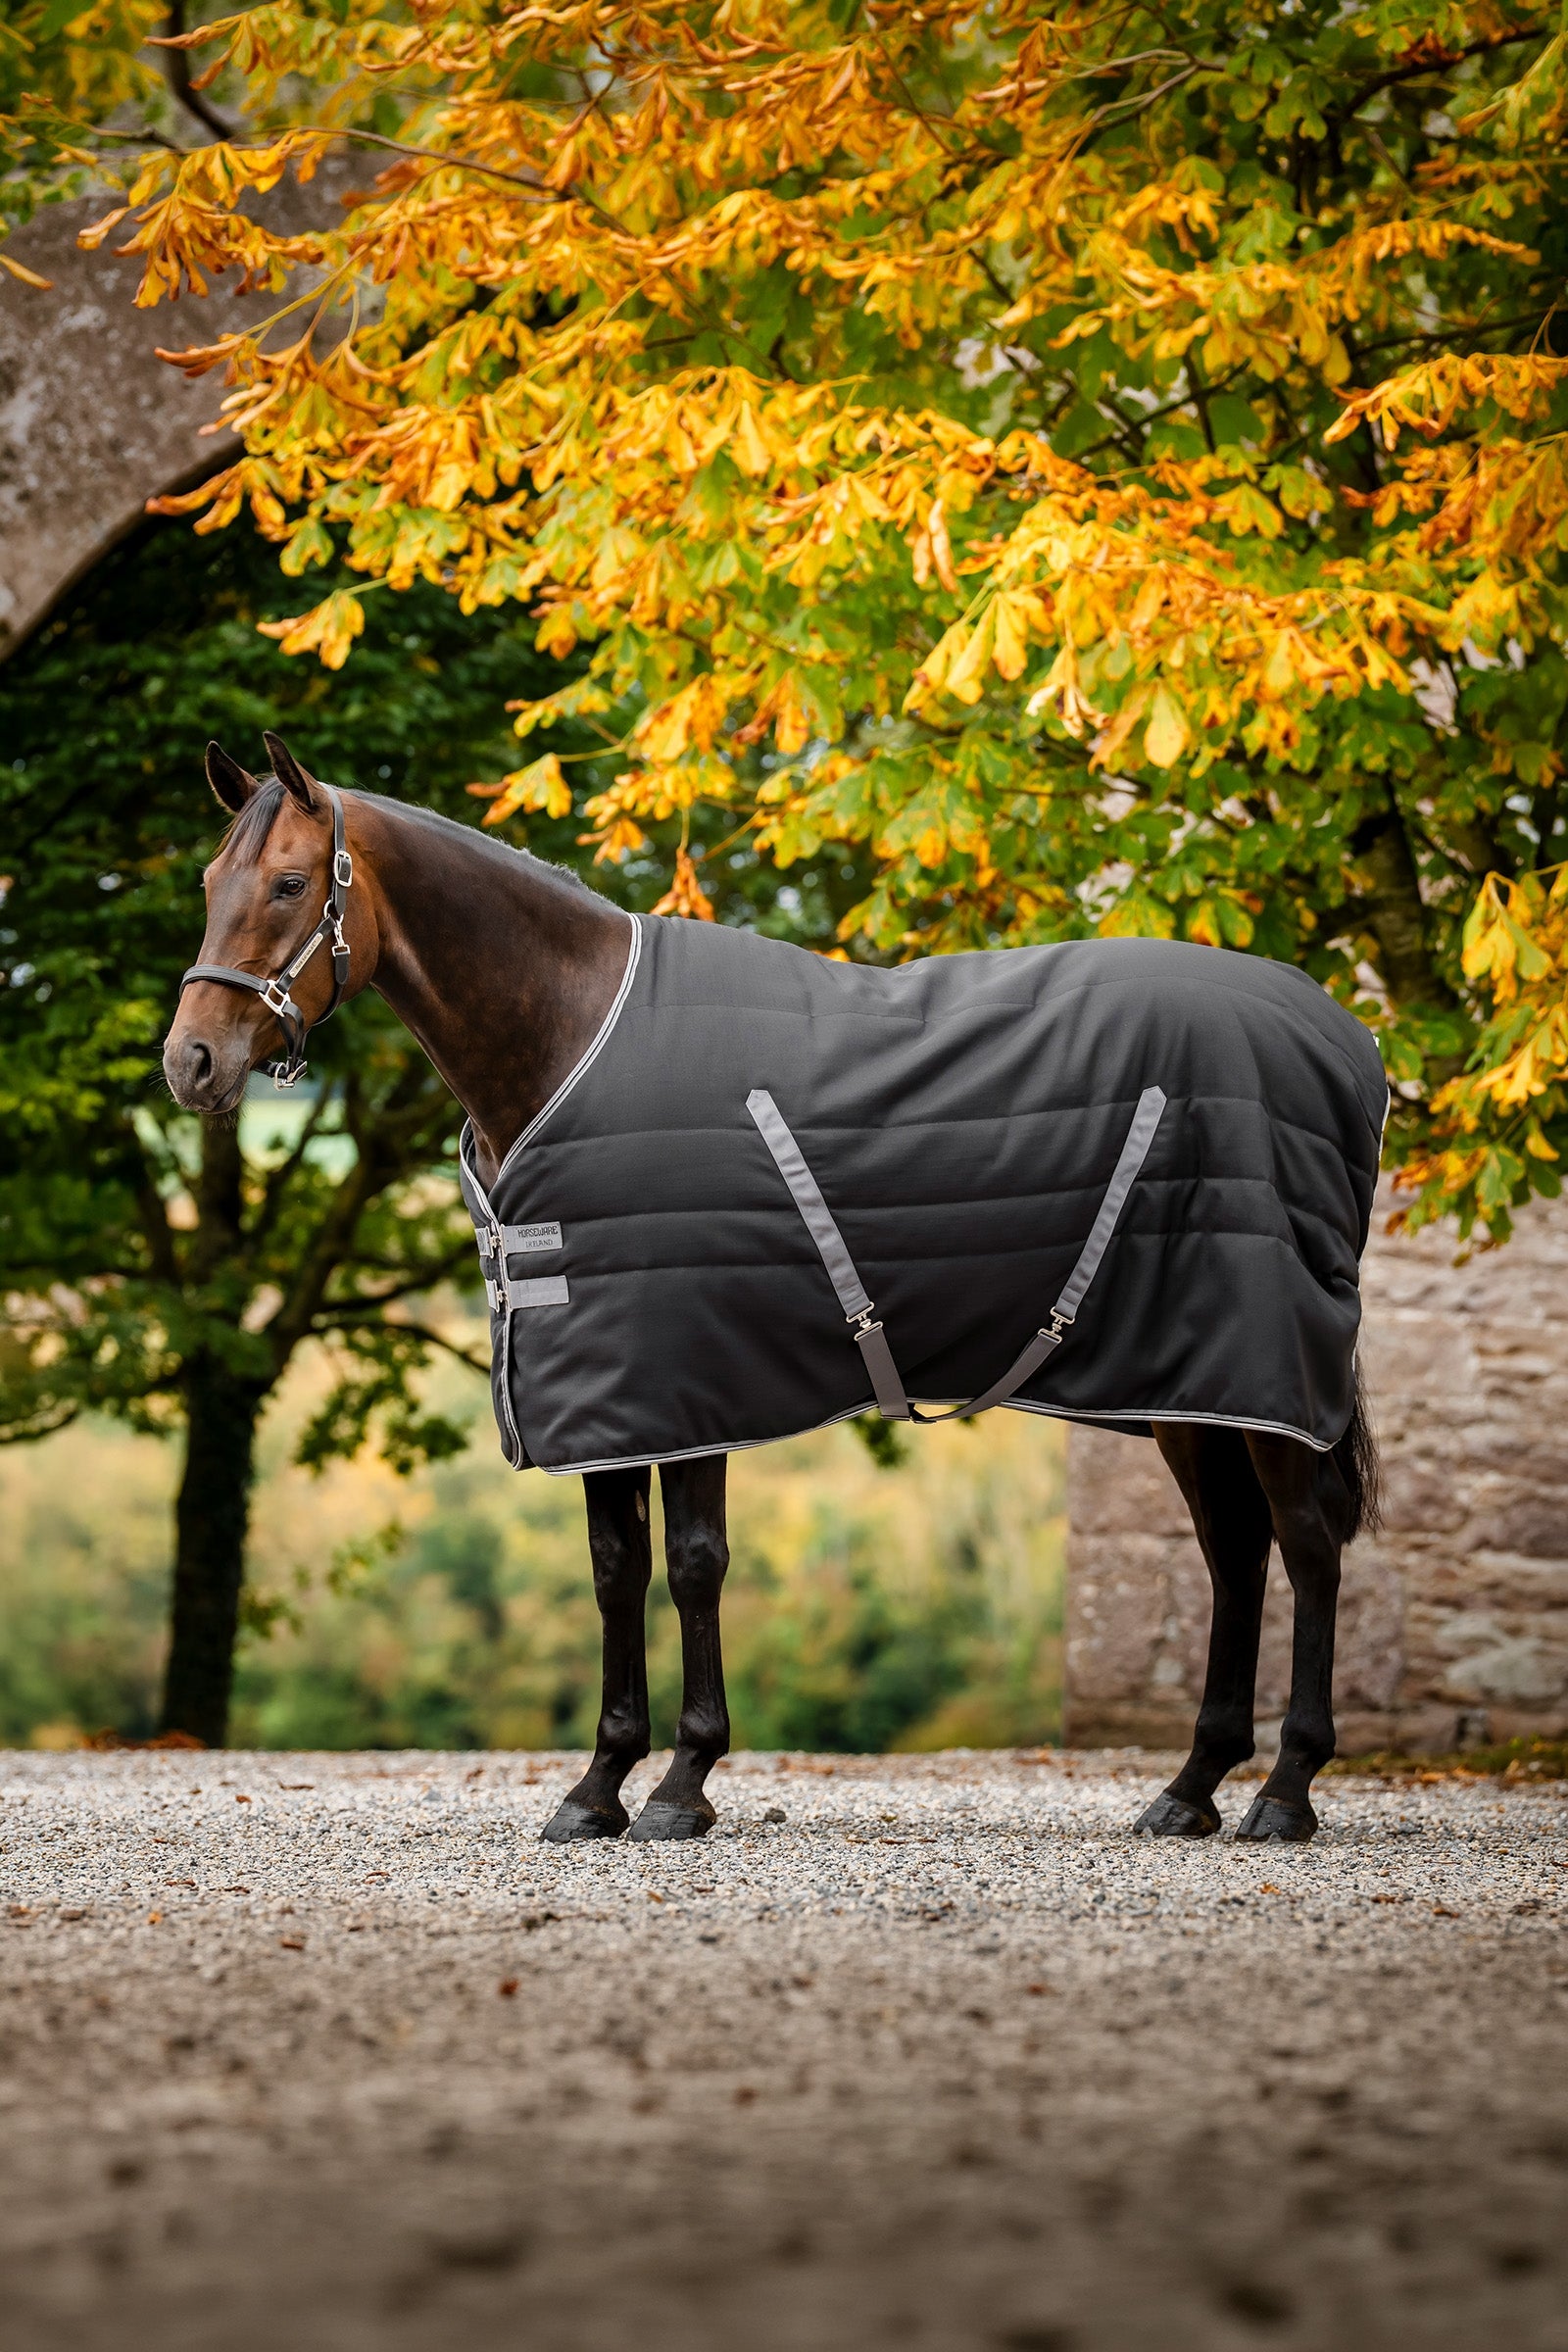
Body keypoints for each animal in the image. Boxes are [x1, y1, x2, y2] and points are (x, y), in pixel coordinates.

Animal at [163, 734, 1384, 1846]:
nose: (189, 1064)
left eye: (287, 884)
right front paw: (595, 1788)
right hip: (1193, 1388)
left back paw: (1283, 1791)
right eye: (210, 883)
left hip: (1265, 1374)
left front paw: (679, 1785)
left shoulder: (681, 1370)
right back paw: (1191, 1787)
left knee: (1308, 1542)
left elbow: (694, 1566)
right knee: (1235, 1549)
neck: (567, 1033)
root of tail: (1344, 1036)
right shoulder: (599, 1390)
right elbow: (615, 1571)